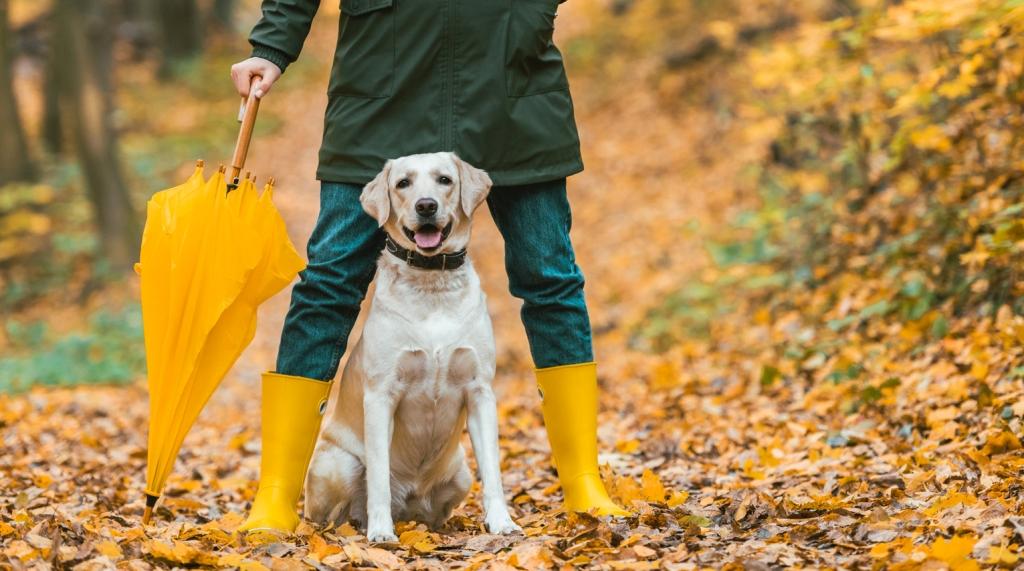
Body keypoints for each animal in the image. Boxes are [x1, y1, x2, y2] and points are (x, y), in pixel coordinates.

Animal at [303, 151, 520, 540]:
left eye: (444, 180)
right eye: (403, 183)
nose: (426, 205)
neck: (431, 282)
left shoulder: (480, 390)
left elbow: (494, 472)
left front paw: (502, 522)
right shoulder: (380, 395)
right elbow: (378, 477)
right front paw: (380, 532)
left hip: (460, 474)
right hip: (338, 463)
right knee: (335, 512)